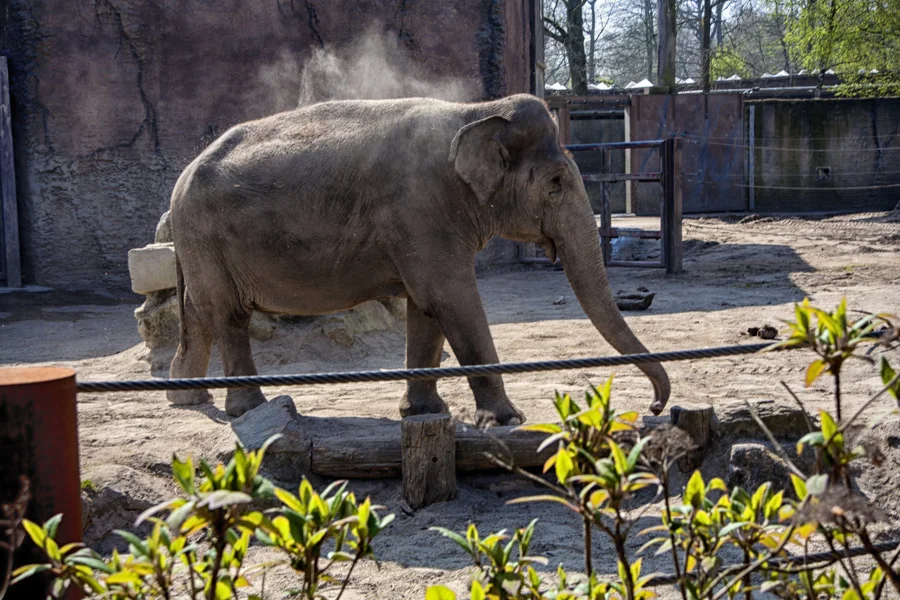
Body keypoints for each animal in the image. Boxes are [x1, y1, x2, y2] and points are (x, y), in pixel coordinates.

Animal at [166, 93, 671, 425]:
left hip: (201, 245)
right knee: (229, 315)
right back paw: (250, 409)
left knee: (200, 312)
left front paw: (424, 412)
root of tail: (179, 180)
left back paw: (186, 399)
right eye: (555, 183)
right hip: (207, 236)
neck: (476, 110)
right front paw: (508, 420)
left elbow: (426, 307)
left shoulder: (421, 226)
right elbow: (451, 299)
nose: (653, 408)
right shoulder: (421, 209)